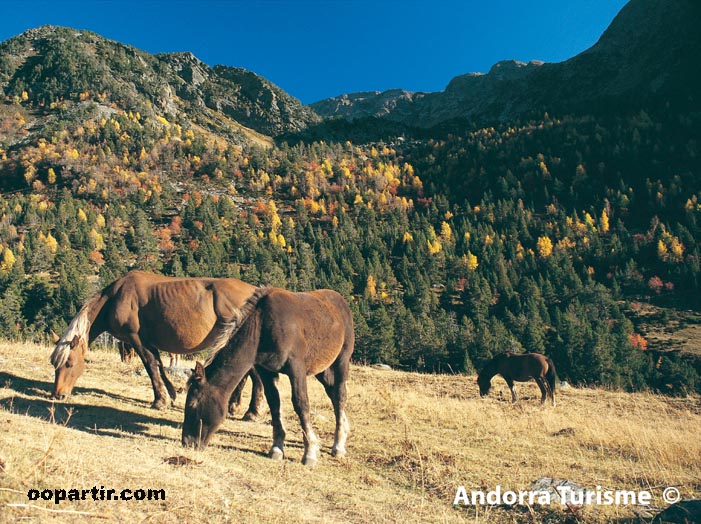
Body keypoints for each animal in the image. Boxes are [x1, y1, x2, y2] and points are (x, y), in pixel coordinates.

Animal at [182, 286, 356, 466]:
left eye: (193, 404)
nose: (187, 442)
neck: (261, 327)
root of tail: (341, 301)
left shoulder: (297, 368)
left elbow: (301, 404)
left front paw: (310, 452)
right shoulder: (266, 371)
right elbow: (274, 404)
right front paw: (277, 448)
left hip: (342, 360)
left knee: (340, 395)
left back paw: (338, 445)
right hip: (322, 369)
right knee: (333, 393)